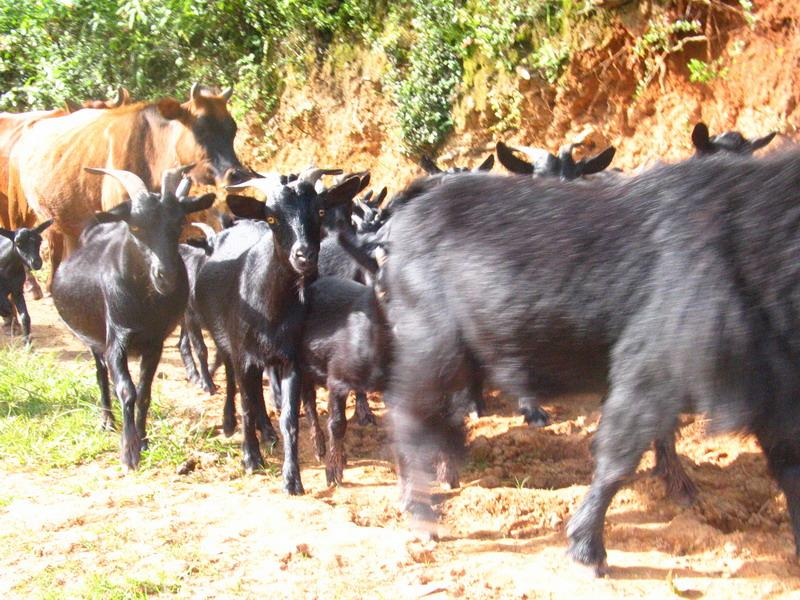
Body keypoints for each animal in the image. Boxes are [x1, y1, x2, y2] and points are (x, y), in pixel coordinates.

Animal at [52, 165, 216, 468]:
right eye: (136, 227)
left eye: (178, 223)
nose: (167, 276)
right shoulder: (116, 340)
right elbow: (126, 390)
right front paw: (129, 452)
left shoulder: (154, 343)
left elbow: (143, 393)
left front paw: (144, 440)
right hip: (95, 342)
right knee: (101, 375)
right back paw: (106, 421)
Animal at [197, 168, 362, 492]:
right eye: (272, 217)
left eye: (319, 210)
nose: (304, 255)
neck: (269, 309)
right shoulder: (243, 354)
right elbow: (247, 404)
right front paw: (251, 459)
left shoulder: (290, 358)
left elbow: (289, 417)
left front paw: (292, 478)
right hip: (226, 343)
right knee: (235, 384)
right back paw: (230, 423)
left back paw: (268, 432)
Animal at [378, 152, 800, 576]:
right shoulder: (649, 373)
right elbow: (619, 459)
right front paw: (587, 548)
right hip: (431, 350)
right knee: (410, 418)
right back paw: (421, 513)